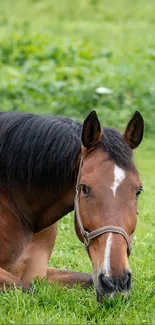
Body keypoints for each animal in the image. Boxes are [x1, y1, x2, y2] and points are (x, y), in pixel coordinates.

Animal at [0, 109, 143, 302]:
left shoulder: (39, 274)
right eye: (84, 188)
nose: (116, 282)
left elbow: (86, 279)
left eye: (138, 191)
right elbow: (27, 290)